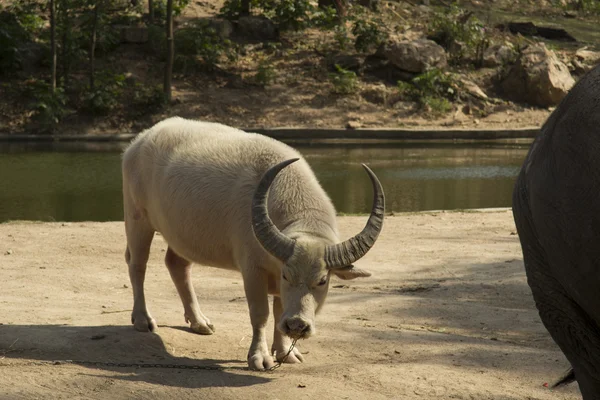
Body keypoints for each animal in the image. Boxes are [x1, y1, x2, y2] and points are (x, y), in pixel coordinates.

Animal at [122, 117, 384, 370]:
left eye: (322, 280)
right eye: (287, 275)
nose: (297, 325)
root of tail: (140, 140)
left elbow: (279, 312)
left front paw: (286, 352)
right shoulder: (253, 270)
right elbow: (261, 314)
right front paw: (259, 357)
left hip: (181, 234)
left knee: (177, 265)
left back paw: (199, 322)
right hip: (137, 218)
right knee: (137, 265)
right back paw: (143, 319)